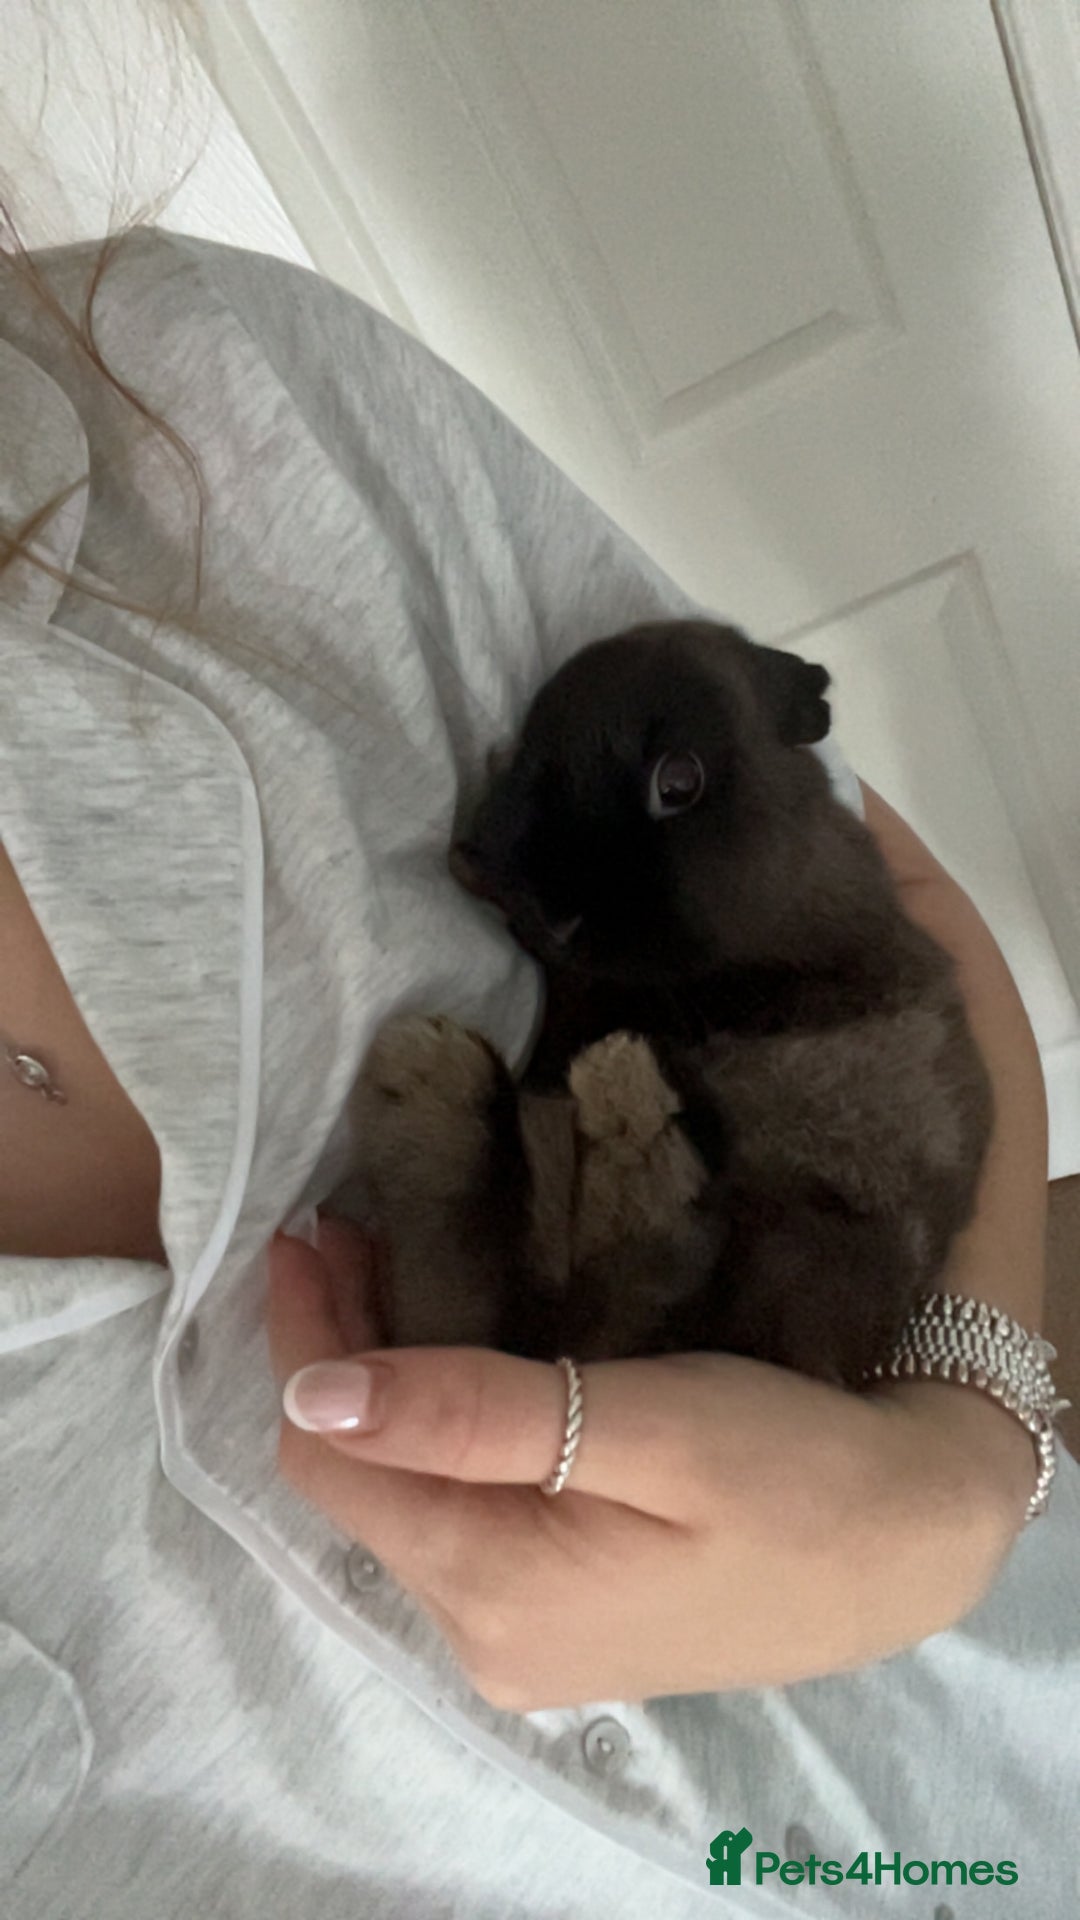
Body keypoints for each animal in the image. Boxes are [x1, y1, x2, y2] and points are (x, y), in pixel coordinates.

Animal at [349, 619, 993, 1388]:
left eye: (678, 782)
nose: (555, 914)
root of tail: (834, 1364)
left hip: (809, 1246)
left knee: (626, 1289)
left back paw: (602, 1110)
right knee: (500, 1310)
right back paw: (448, 1095)